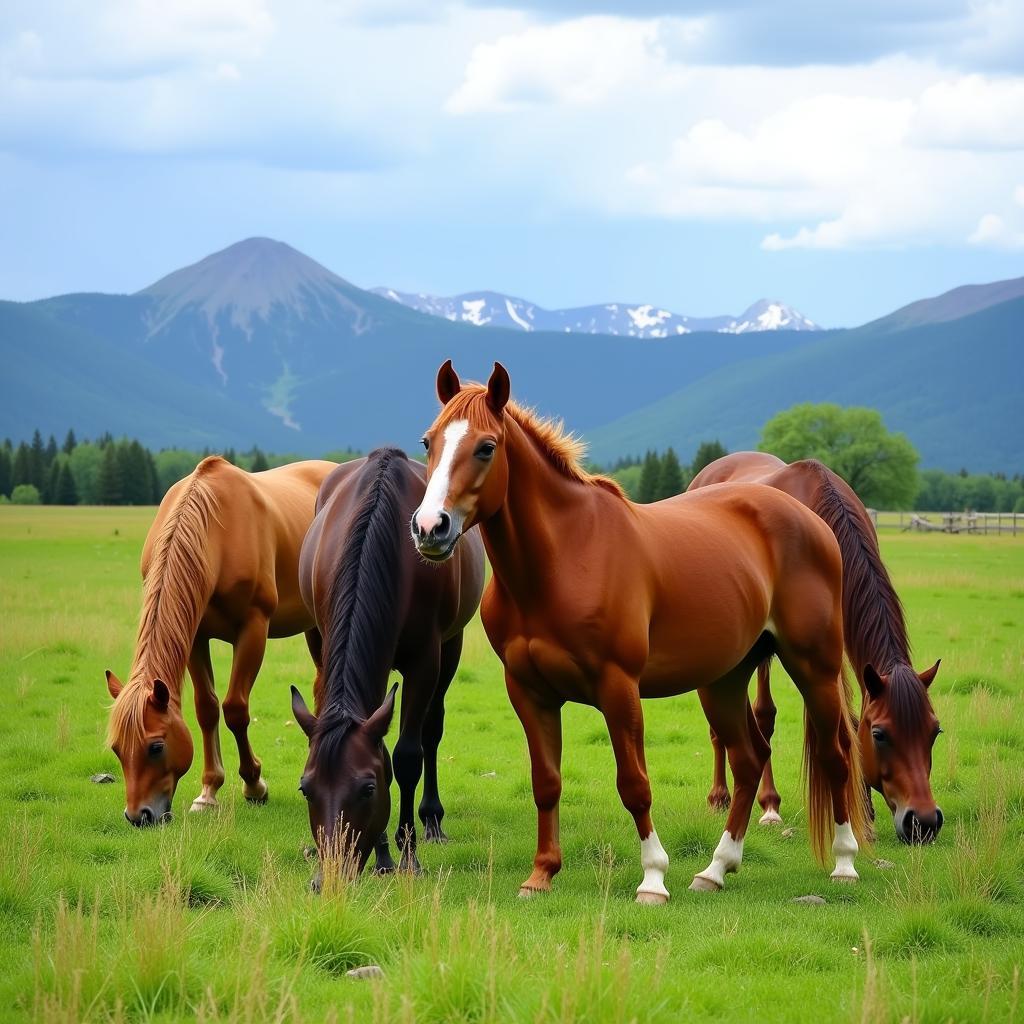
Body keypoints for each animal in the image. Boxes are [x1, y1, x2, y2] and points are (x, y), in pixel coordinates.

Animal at [102, 456, 331, 823]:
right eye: (117, 748)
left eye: (156, 746)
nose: (139, 816)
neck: (216, 534)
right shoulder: (195, 636)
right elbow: (206, 708)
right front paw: (208, 792)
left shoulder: (253, 628)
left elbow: (235, 709)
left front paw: (254, 785)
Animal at [288, 444, 479, 884]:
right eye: (306, 788)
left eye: (368, 789)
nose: (330, 877)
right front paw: (382, 854)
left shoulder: (426, 659)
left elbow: (407, 756)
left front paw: (406, 853)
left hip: (452, 646)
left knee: (431, 730)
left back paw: (432, 821)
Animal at [411, 362, 868, 905]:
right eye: (428, 442)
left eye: (485, 447)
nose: (430, 527)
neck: (563, 560)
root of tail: (811, 521)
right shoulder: (529, 692)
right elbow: (546, 782)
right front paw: (541, 874)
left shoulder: (618, 688)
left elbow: (634, 784)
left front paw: (653, 878)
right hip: (724, 680)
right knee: (750, 758)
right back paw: (715, 870)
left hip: (812, 667)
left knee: (835, 755)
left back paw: (844, 863)